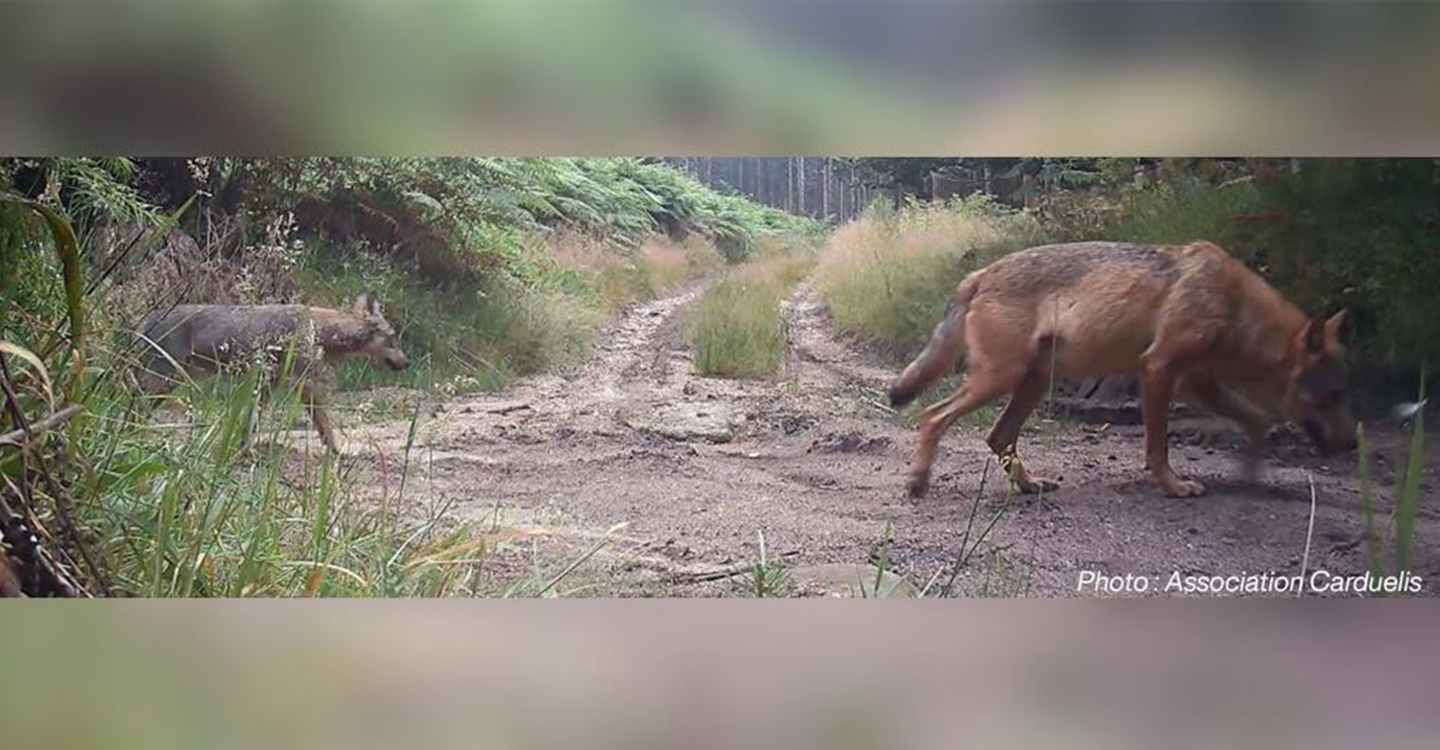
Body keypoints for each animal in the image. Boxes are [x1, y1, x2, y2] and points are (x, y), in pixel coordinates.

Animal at [136, 293, 408, 452]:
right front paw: (336, 451)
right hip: (165, 381)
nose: (407, 363)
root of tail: (148, 318)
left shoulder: (271, 382)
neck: (318, 329)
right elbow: (325, 422)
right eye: (394, 340)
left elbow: (252, 420)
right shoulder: (302, 383)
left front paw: (243, 449)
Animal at [892, 241, 1353, 498]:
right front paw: (1174, 487)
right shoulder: (1158, 369)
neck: (1236, 308)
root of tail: (979, 274)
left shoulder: (1196, 382)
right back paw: (918, 483)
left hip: (1032, 383)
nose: (1351, 445)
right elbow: (1158, 445)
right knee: (932, 416)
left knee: (997, 437)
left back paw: (1030, 486)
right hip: (999, 380)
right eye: (1331, 396)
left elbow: (1256, 420)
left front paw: (1252, 472)